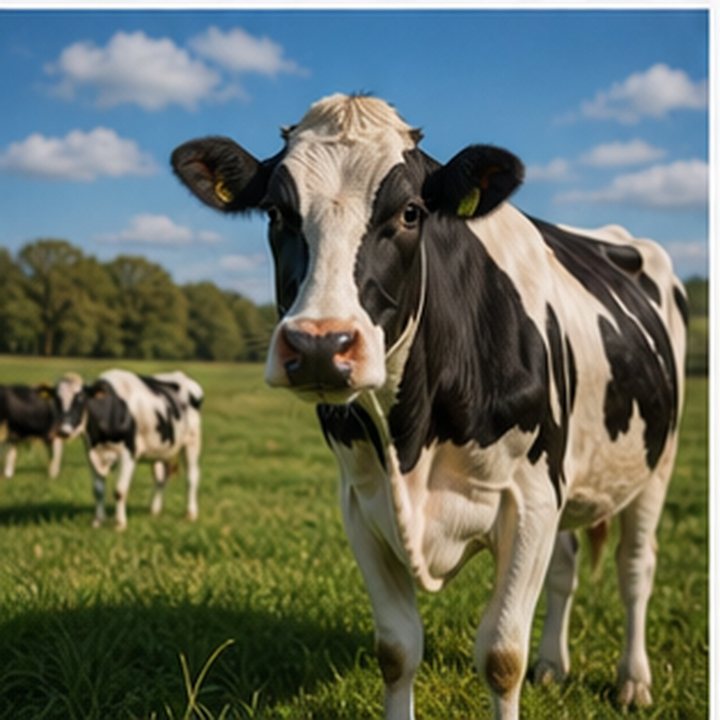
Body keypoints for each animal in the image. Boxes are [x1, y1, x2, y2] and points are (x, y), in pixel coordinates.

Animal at [55, 369, 203, 530]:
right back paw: (154, 511)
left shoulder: (128, 453)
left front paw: (120, 524)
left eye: (81, 399)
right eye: (56, 400)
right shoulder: (91, 454)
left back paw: (190, 514)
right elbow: (98, 490)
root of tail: (181, 375)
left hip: (191, 442)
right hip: (160, 449)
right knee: (160, 478)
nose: (63, 430)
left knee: (192, 477)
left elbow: (120, 491)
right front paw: (98, 521)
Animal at [171, 94, 686, 719]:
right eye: (275, 212)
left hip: (656, 464)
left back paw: (633, 681)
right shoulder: (361, 502)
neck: (413, 437)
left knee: (636, 568)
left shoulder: (532, 498)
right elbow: (396, 650)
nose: (320, 345)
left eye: (412, 212)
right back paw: (552, 666)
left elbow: (501, 656)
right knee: (565, 570)